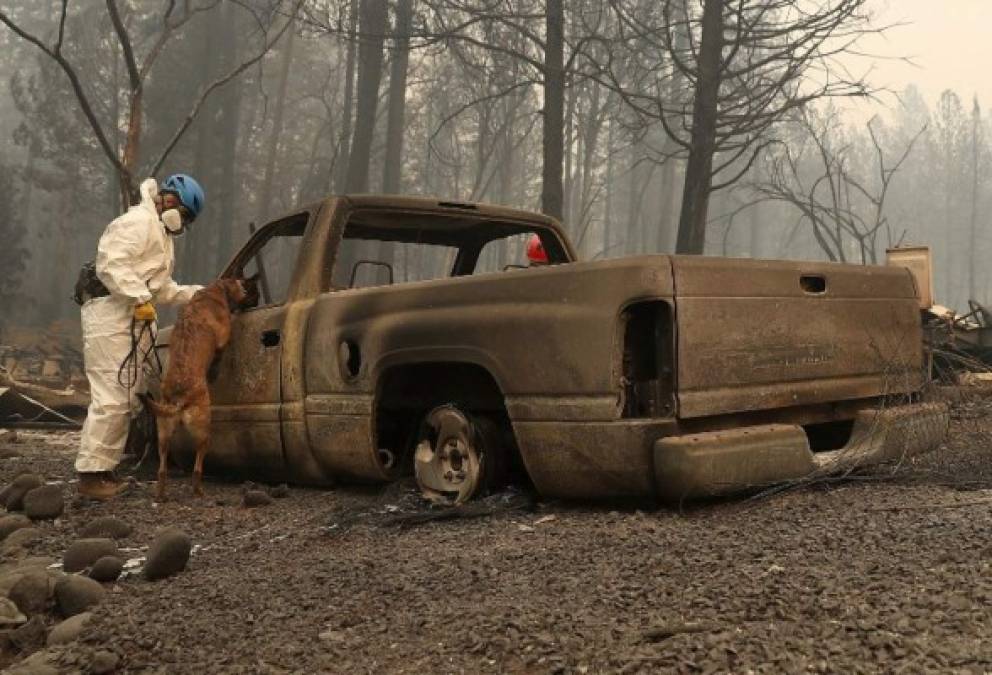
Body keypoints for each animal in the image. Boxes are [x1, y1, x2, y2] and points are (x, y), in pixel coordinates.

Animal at [149, 276, 256, 502]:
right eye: (243, 287)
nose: (252, 296)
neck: (213, 291)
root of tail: (180, 398)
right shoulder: (223, 335)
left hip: (163, 433)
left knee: (162, 469)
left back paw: (161, 494)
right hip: (204, 429)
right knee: (198, 466)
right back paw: (198, 490)